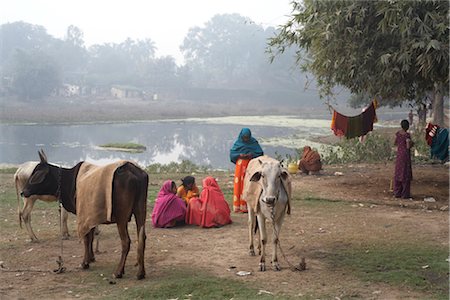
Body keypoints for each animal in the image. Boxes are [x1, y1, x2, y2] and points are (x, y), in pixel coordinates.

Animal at [22, 150, 148, 278]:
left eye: (37, 174)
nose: (24, 192)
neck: (68, 181)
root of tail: (135, 172)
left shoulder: (83, 215)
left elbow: (86, 238)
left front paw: (85, 263)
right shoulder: (90, 215)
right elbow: (91, 237)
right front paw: (91, 258)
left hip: (122, 217)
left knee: (126, 241)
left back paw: (119, 271)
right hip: (140, 209)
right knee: (142, 238)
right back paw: (141, 272)